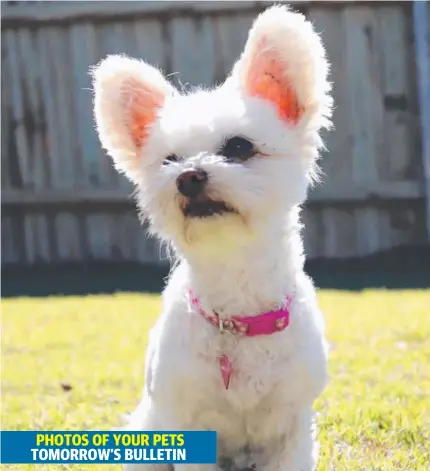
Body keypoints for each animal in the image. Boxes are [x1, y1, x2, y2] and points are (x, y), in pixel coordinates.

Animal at [90, 5, 332, 471]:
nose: (187, 176)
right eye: (169, 159)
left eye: (239, 147)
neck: (237, 312)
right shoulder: (188, 426)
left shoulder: (294, 427)